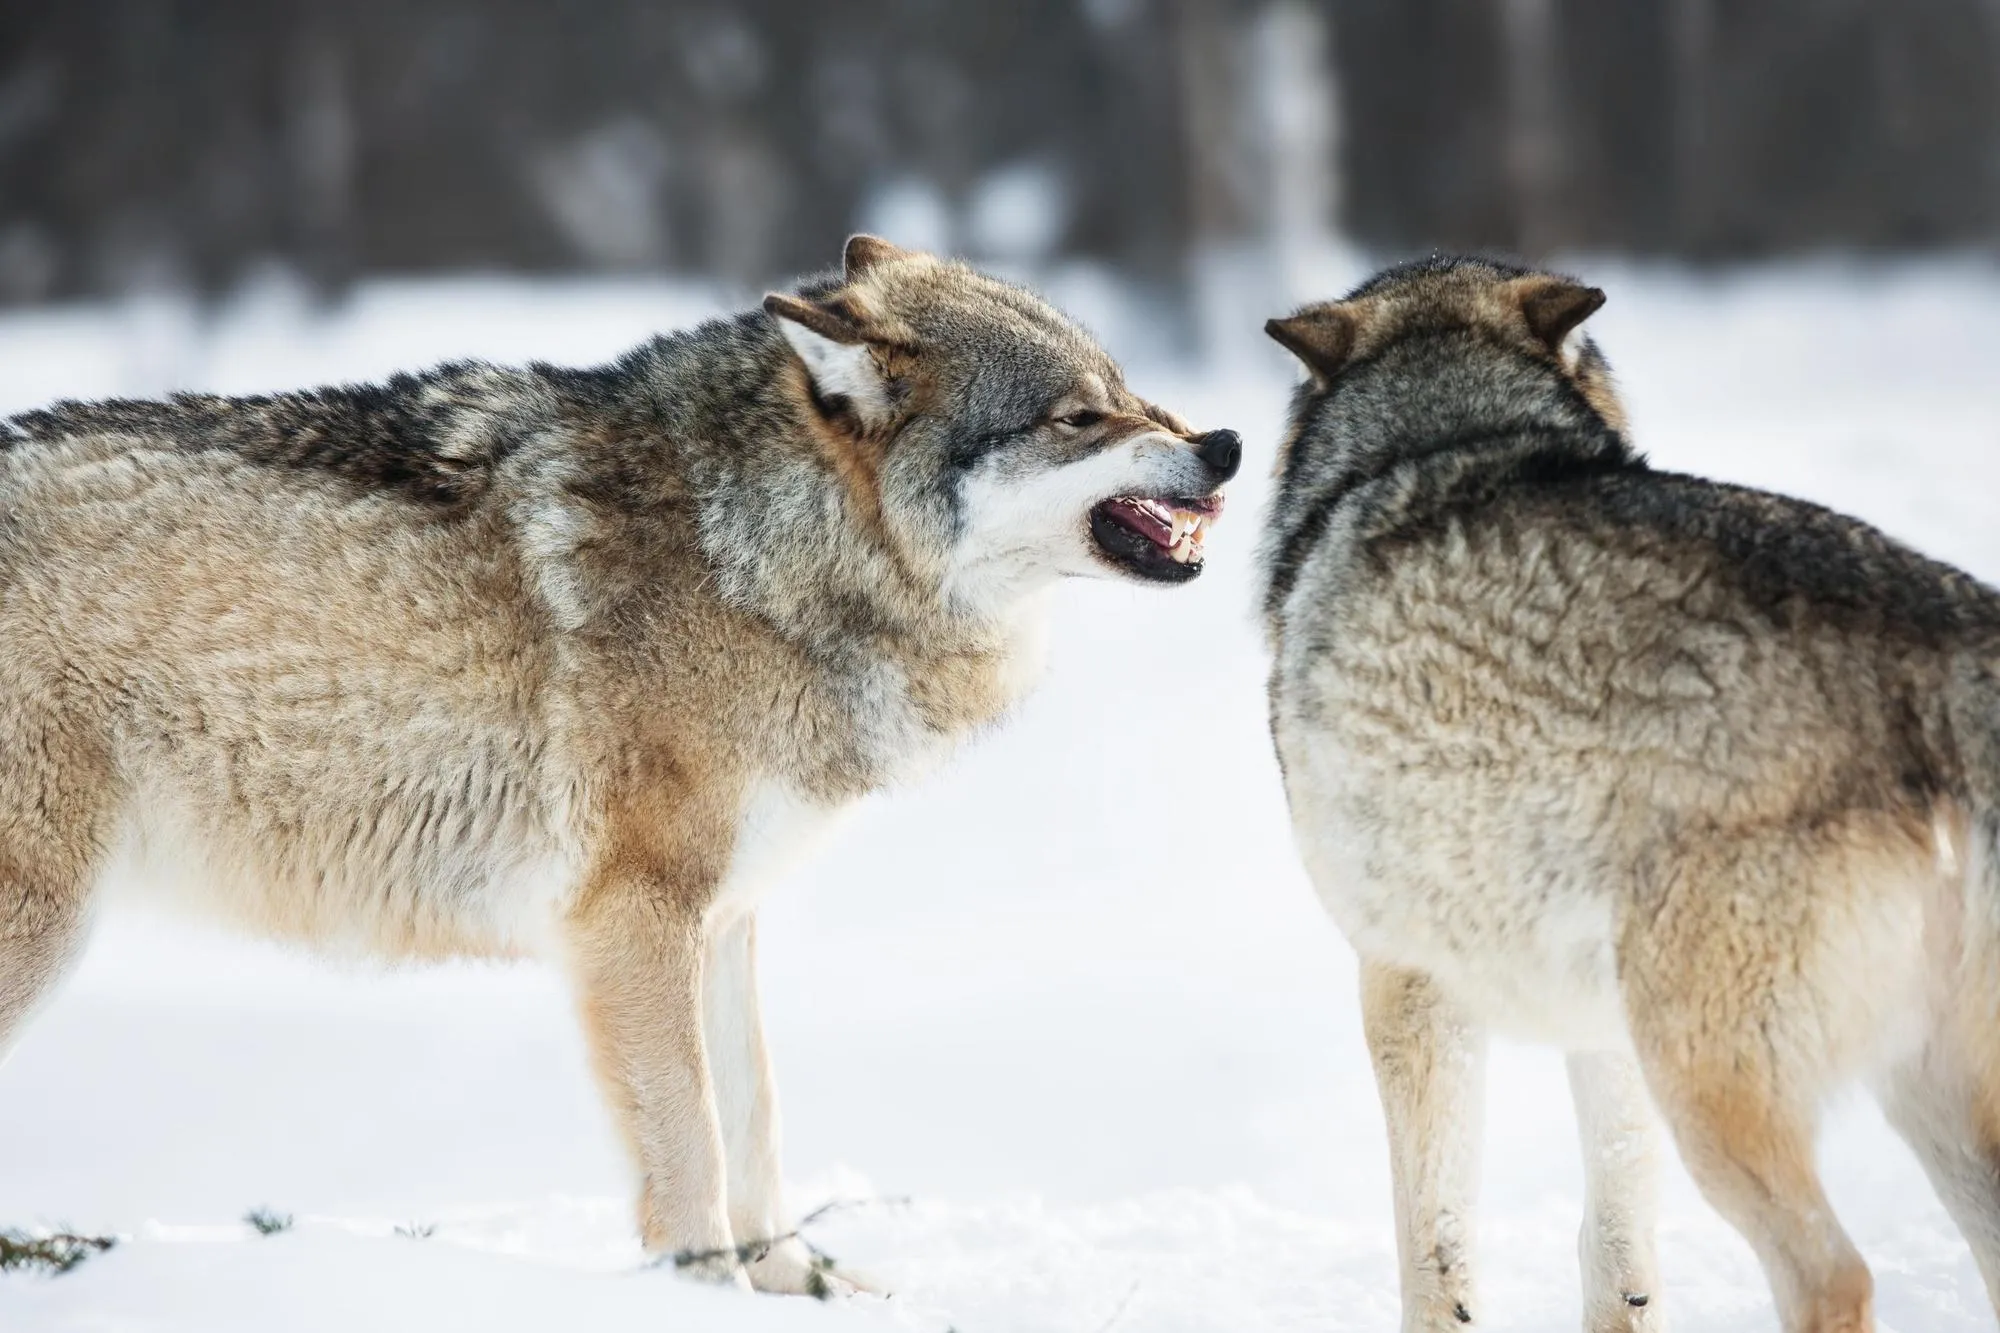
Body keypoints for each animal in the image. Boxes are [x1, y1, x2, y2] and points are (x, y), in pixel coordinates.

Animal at [0, 235, 1241, 1293]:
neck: (758, 556)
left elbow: (756, 1124)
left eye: (1126, 388)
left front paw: (798, 1286)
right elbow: (691, 1147)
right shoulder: (634, 918)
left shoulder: (725, 919)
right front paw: (708, 1296)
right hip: (42, 930)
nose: (1226, 444)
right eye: (1076, 414)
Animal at [1261, 255, 2000, 1332]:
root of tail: (1944, 644)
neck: (1441, 434)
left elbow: (1433, 1249)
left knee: (1834, 1274)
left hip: (1717, 1084)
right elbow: (1615, 1252)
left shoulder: (1404, 981)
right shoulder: (1598, 1027)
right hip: (1903, 1087)